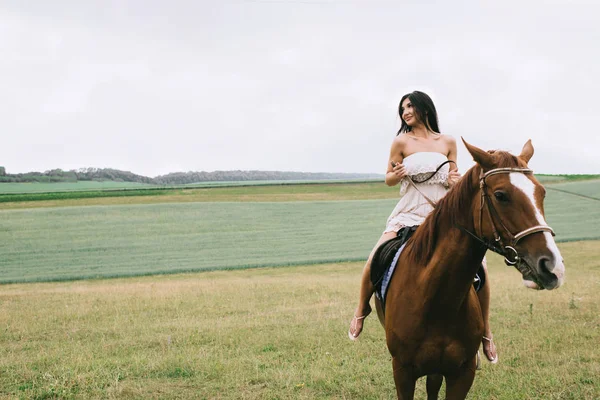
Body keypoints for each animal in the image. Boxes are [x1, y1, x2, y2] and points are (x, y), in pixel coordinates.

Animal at [372, 139, 564, 398]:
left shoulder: (462, 373)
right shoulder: (402, 372)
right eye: (500, 195)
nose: (552, 266)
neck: (436, 299)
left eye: (541, 193)